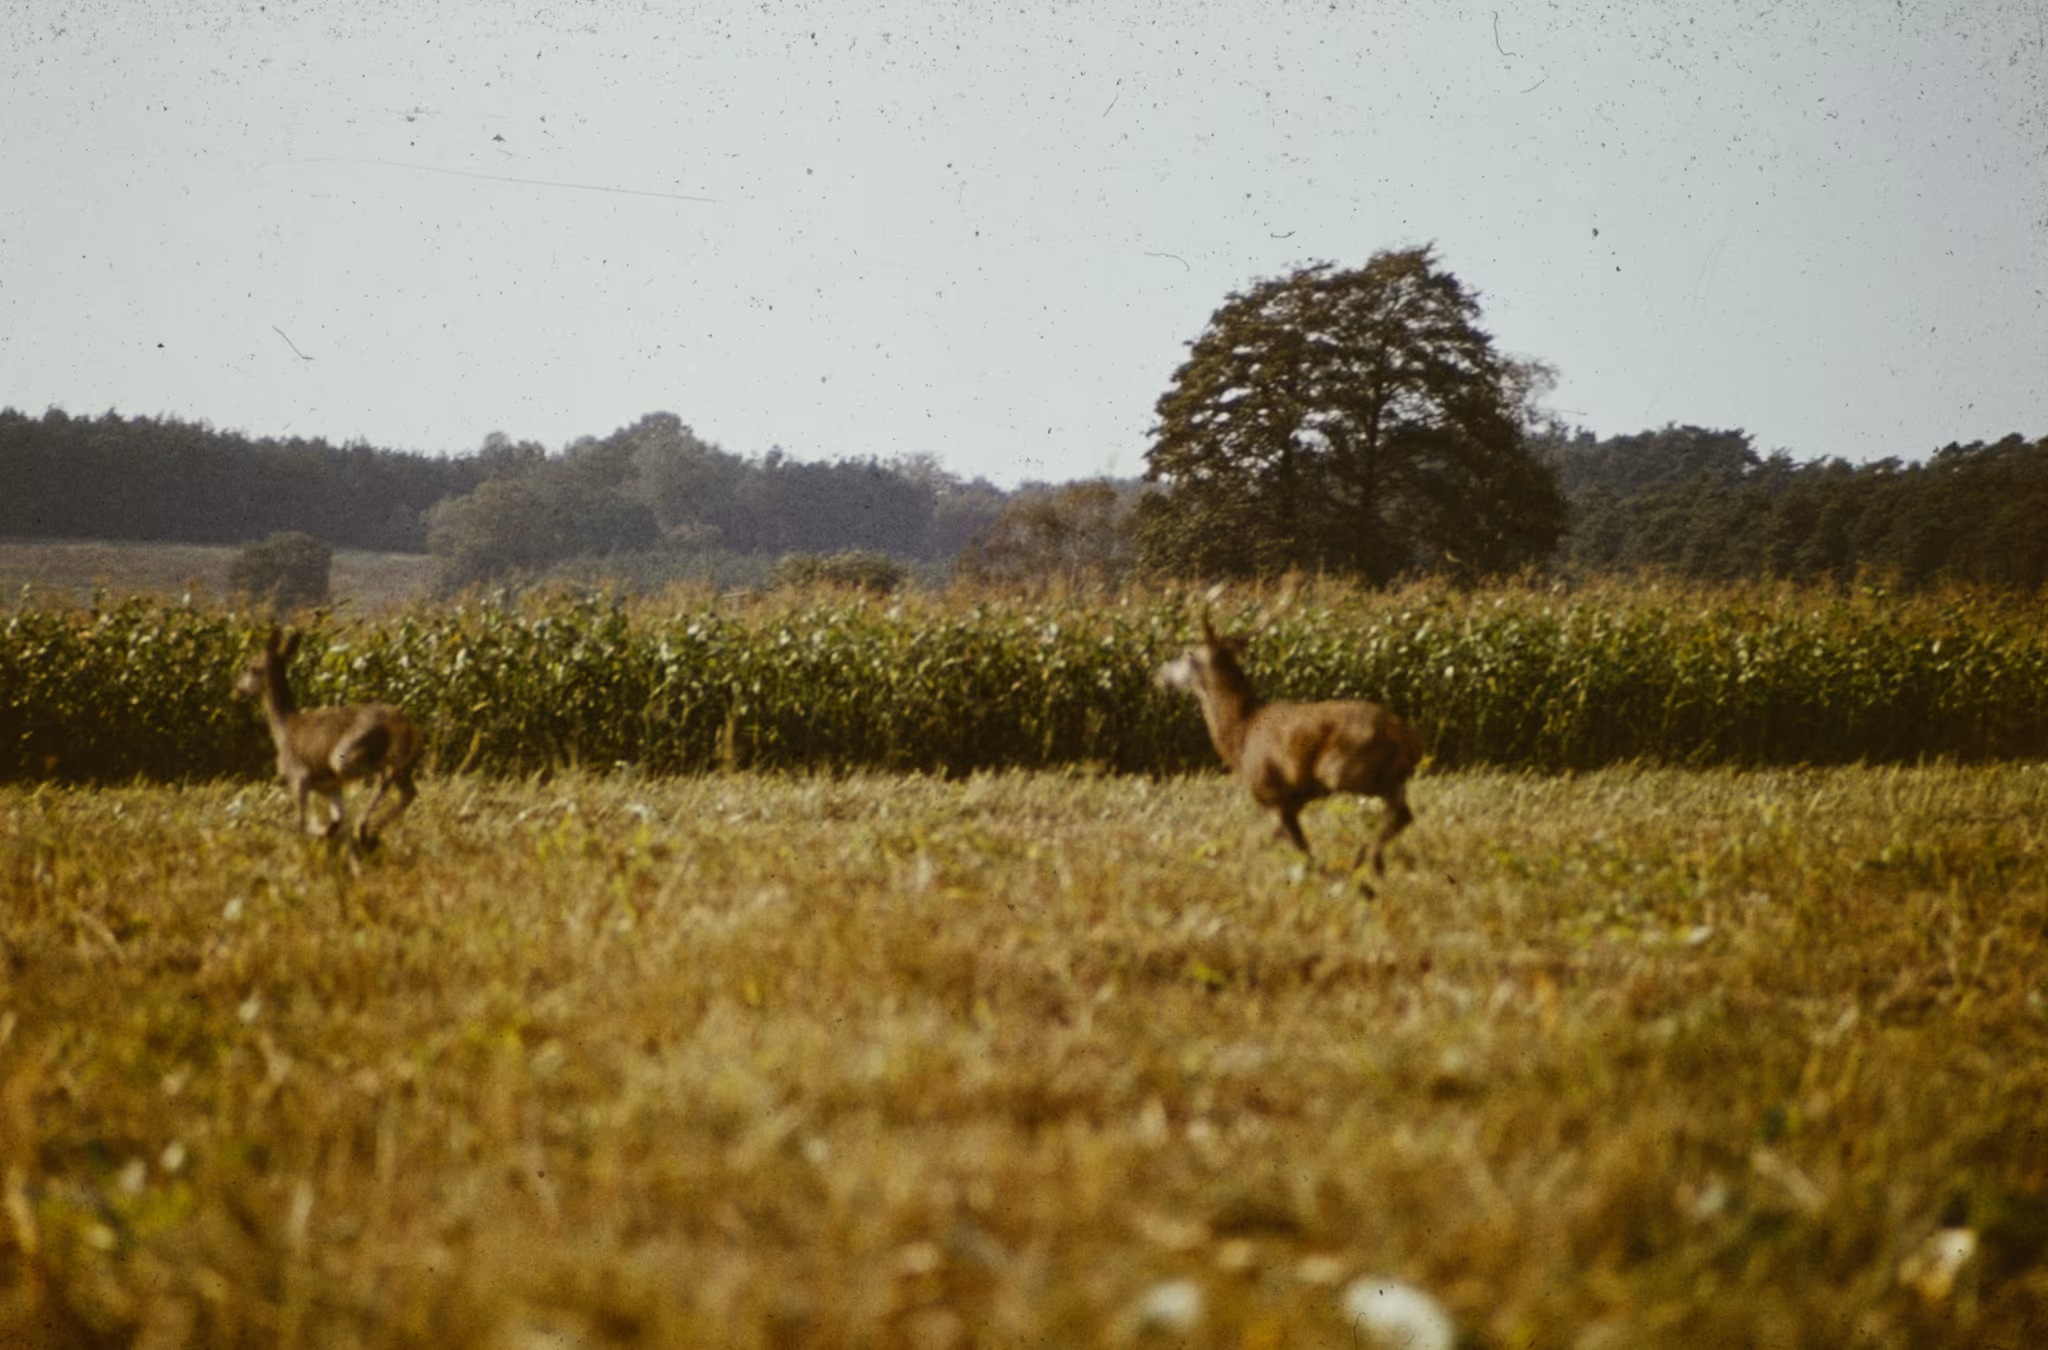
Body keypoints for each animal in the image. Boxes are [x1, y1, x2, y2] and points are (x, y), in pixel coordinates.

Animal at [232, 626, 421, 848]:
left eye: (250, 667)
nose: (236, 690)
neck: (283, 728)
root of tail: (404, 724)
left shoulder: (299, 776)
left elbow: (299, 823)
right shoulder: (330, 786)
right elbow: (335, 821)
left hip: (344, 758)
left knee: (385, 775)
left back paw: (363, 830)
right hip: (402, 764)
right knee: (408, 791)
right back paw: (372, 832)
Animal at [1156, 611, 1424, 883]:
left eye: (1188, 654)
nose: (1161, 673)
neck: (1240, 734)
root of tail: (1409, 737)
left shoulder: (1270, 792)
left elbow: (1290, 849)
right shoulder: (1292, 800)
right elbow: (1275, 842)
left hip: (1343, 769)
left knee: (1399, 811)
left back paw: (1369, 862)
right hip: (1388, 774)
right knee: (1402, 811)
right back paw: (1373, 863)